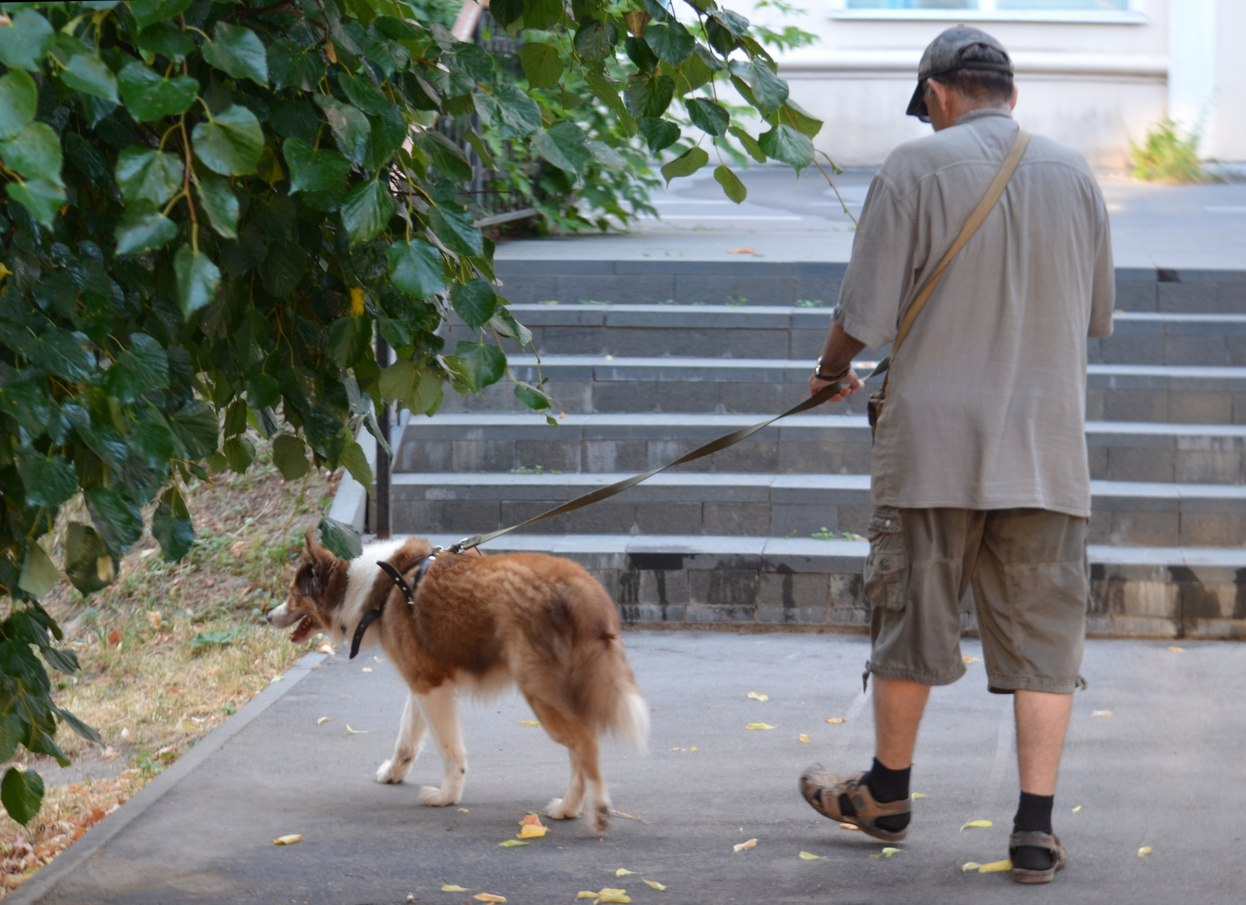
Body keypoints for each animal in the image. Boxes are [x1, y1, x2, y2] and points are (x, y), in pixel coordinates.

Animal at [265, 531, 652, 837]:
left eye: (293, 593)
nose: (267, 616)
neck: (376, 585)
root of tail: (583, 589)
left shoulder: (431, 686)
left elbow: (450, 750)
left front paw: (446, 796)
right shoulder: (421, 680)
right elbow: (407, 737)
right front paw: (394, 772)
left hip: (541, 692)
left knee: (585, 744)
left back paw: (598, 812)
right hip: (558, 693)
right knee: (578, 747)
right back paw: (568, 807)